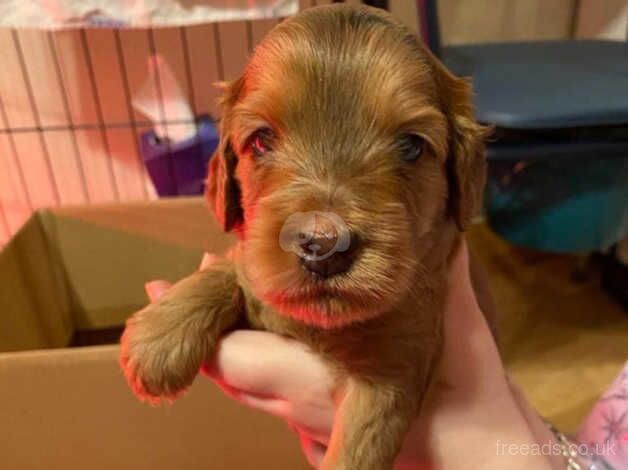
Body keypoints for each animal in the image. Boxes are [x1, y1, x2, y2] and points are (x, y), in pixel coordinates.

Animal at [120, 4, 488, 470]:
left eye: (410, 145)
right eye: (261, 139)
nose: (323, 247)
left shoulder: (398, 362)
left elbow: (358, 446)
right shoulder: (260, 283)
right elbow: (235, 270)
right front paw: (159, 334)